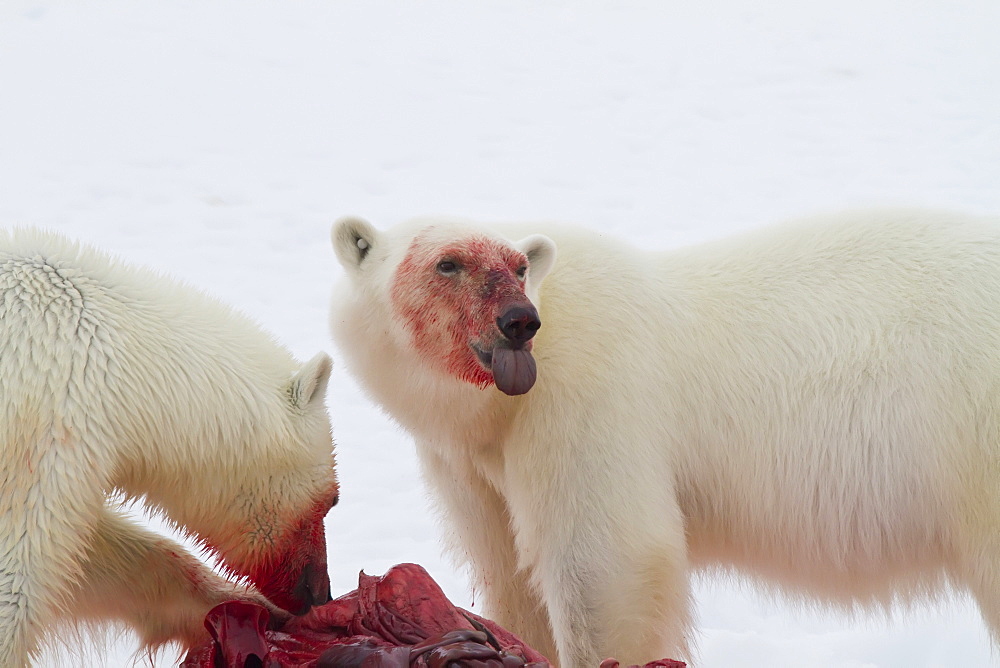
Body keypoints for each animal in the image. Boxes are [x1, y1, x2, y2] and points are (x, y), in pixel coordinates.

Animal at [326, 210, 1000, 668]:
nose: (519, 321)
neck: (499, 410)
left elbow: (605, 562)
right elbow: (510, 571)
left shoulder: (585, 399)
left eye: (518, 267)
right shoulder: (469, 463)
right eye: (448, 263)